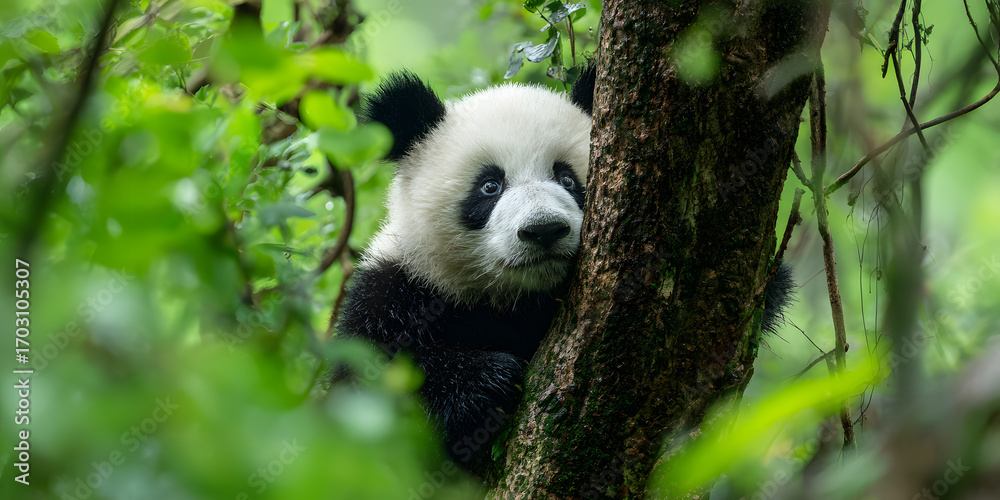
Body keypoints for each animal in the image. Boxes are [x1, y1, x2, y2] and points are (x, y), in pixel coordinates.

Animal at [336, 67, 792, 470]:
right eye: (490, 186)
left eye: (568, 178)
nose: (543, 230)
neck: (517, 299)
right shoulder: (395, 291)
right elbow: (370, 386)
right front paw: (485, 383)